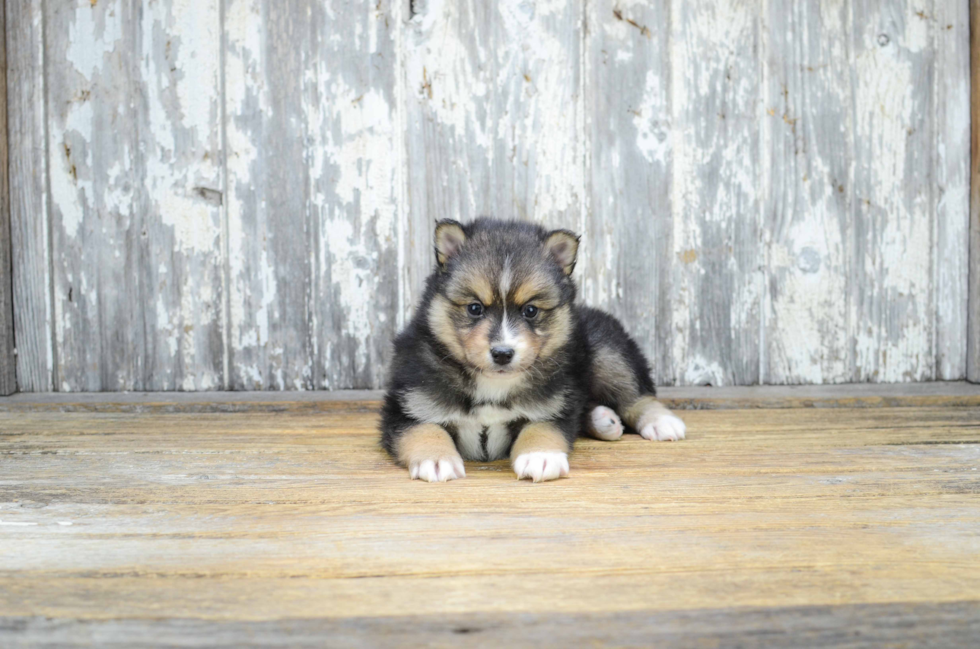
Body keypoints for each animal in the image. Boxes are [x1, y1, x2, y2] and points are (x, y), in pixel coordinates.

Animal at [378, 218, 684, 480]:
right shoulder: (407, 407)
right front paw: (436, 459)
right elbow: (425, 428)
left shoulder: (551, 408)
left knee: (635, 394)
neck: (493, 385)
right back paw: (604, 420)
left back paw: (661, 421)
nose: (502, 353)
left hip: (606, 353)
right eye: (475, 308)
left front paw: (541, 456)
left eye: (531, 310)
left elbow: (540, 428)